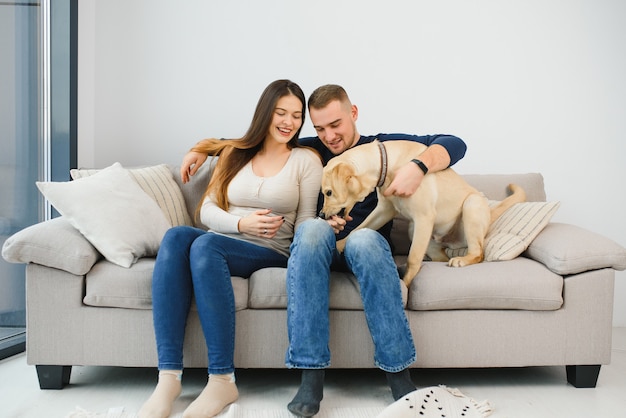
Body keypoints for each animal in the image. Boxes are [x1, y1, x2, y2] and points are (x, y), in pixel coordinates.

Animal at [320, 140, 524, 288]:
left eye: (328, 192)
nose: (321, 215)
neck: (386, 165)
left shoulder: (423, 217)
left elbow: (412, 258)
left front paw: (406, 283)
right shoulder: (384, 210)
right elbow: (358, 229)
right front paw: (338, 244)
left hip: (470, 205)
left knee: (478, 253)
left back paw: (462, 260)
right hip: (416, 232)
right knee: (442, 257)